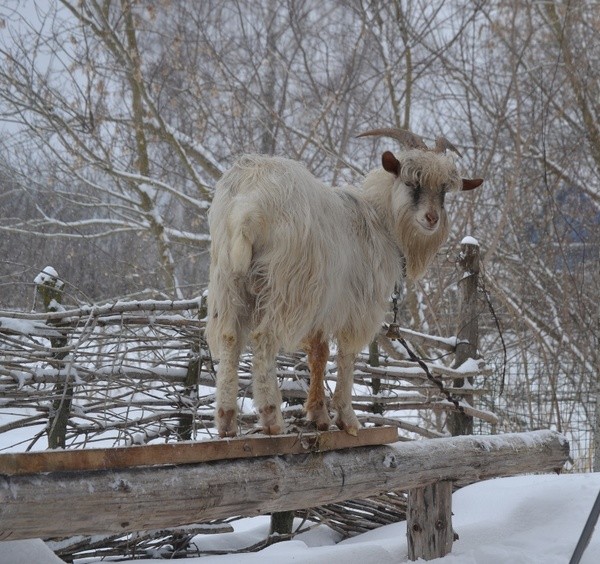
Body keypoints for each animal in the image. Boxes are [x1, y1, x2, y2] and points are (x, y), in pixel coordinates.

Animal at [206, 130, 482, 438]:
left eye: (444, 191)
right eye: (411, 182)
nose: (431, 218)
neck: (380, 221)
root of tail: (248, 204)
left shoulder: (324, 307)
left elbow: (319, 354)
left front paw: (318, 414)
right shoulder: (358, 307)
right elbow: (347, 356)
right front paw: (347, 418)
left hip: (228, 279)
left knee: (229, 337)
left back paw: (226, 420)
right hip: (286, 287)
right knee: (263, 338)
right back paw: (271, 417)